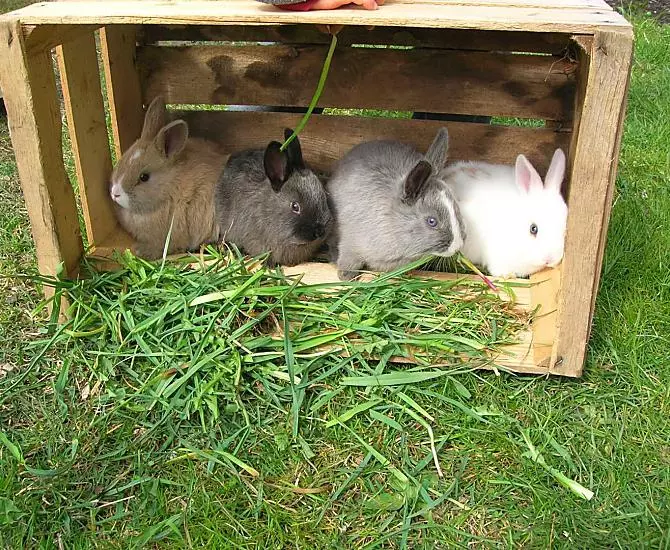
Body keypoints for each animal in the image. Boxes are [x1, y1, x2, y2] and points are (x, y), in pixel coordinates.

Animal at [327, 127, 466, 281]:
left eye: (456, 208)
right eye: (431, 221)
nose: (457, 246)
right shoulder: (350, 245)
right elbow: (349, 261)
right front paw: (346, 277)